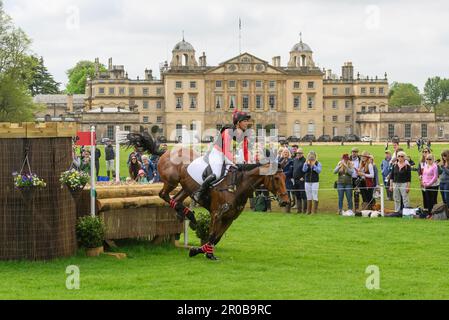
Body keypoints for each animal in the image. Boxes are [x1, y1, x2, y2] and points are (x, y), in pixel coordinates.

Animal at [126, 132, 288, 260]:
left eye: (285, 177)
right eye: (276, 178)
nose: (286, 201)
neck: (236, 187)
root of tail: (165, 152)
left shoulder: (230, 218)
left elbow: (217, 238)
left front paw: (200, 251)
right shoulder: (217, 214)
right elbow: (211, 235)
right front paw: (205, 253)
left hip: (186, 188)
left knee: (176, 199)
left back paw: (188, 216)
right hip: (171, 181)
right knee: (163, 195)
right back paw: (189, 216)